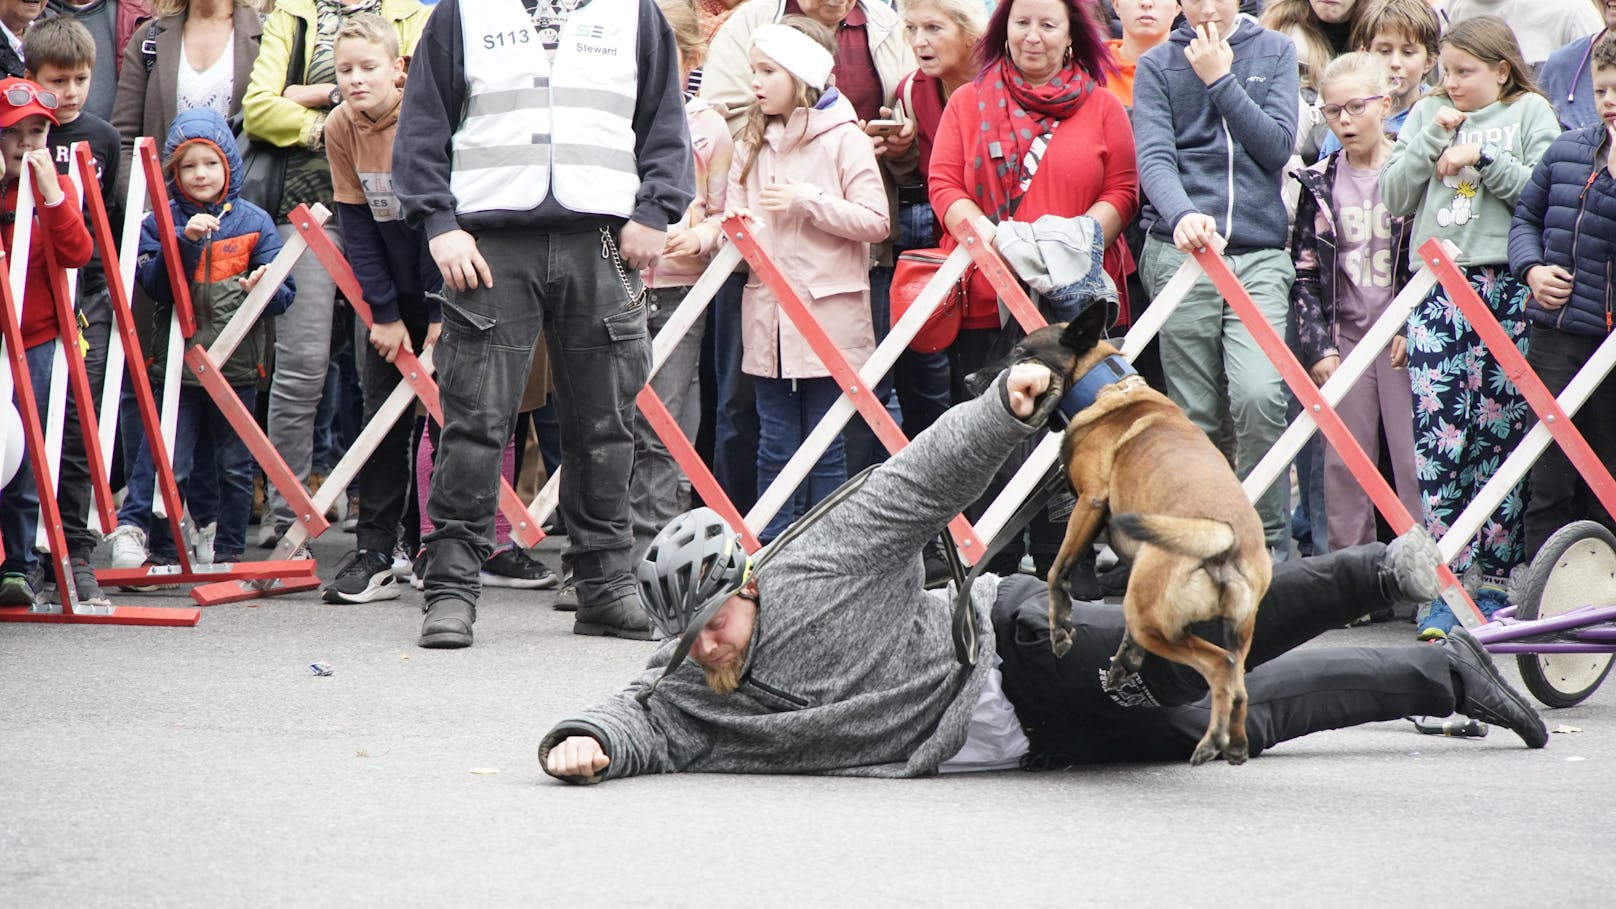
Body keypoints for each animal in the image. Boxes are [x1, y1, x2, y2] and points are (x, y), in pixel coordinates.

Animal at [1001, 307, 1266, 760]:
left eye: (1020, 352)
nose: (971, 380)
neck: (1105, 390)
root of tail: (1226, 541)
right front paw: (1124, 661)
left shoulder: (1089, 503)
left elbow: (1056, 571)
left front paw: (1060, 629)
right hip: (1216, 627)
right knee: (1239, 685)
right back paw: (1234, 744)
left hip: (1157, 620)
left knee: (1220, 667)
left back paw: (1211, 741)